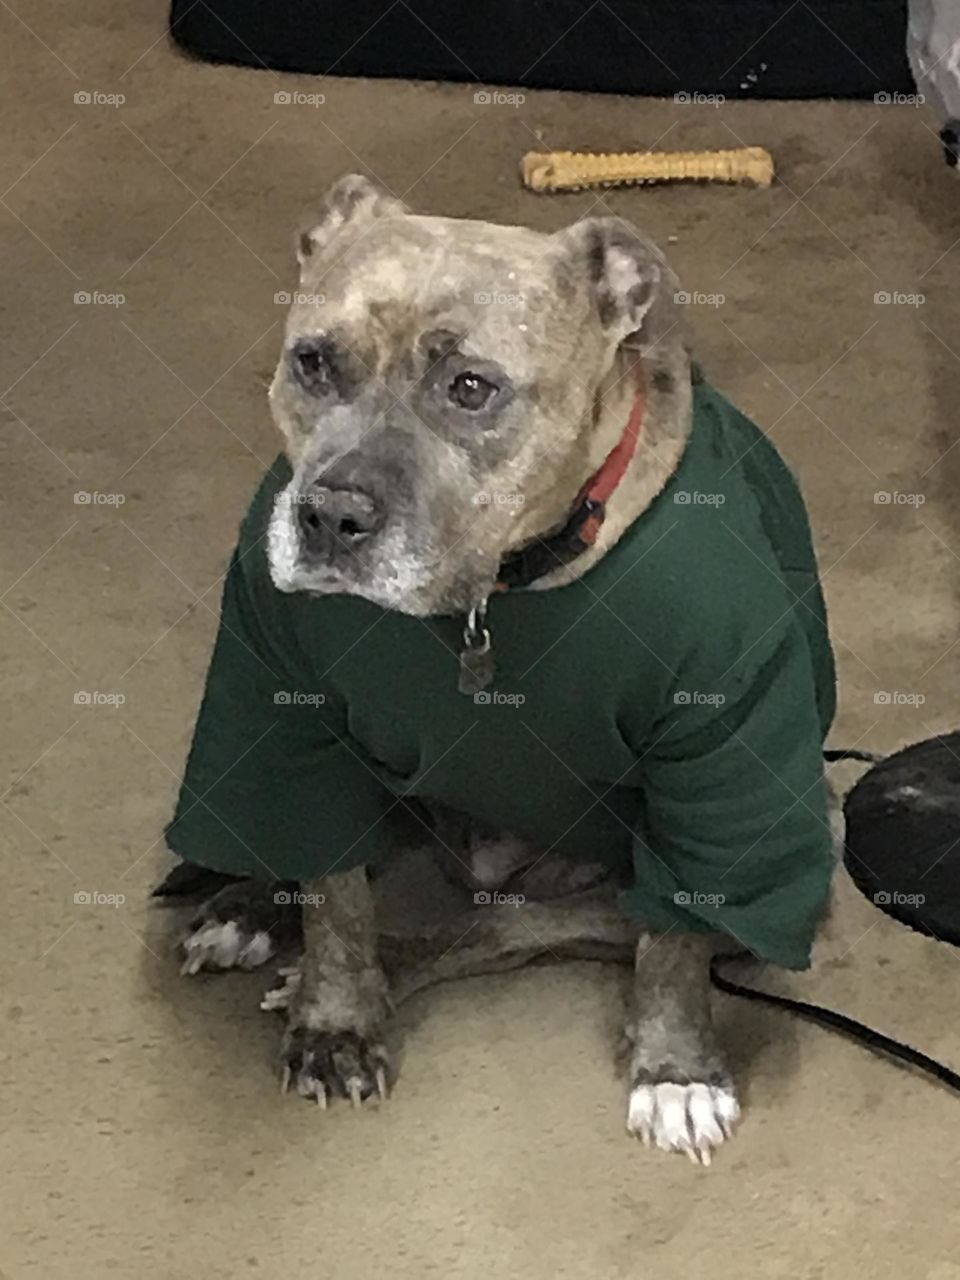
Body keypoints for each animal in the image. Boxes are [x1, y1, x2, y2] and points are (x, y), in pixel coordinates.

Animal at [160, 175, 839, 1167]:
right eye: (313, 362)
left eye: (470, 388)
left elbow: (671, 944)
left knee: (503, 926)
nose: (330, 516)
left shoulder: (719, 777)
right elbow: (334, 896)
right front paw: (336, 1017)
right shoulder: (284, 709)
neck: (491, 592)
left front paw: (676, 1070)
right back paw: (251, 906)